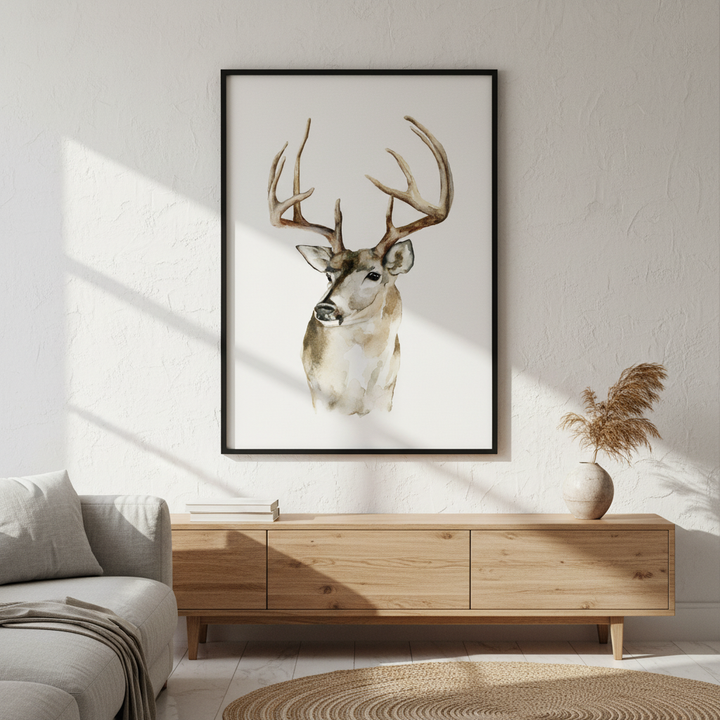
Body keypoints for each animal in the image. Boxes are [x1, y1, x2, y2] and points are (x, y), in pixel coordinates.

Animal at [268, 116, 453, 416]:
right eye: (328, 274)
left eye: (374, 274)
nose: (324, 308)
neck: (354, 398)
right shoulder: (317, 396)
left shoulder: (386, 398)